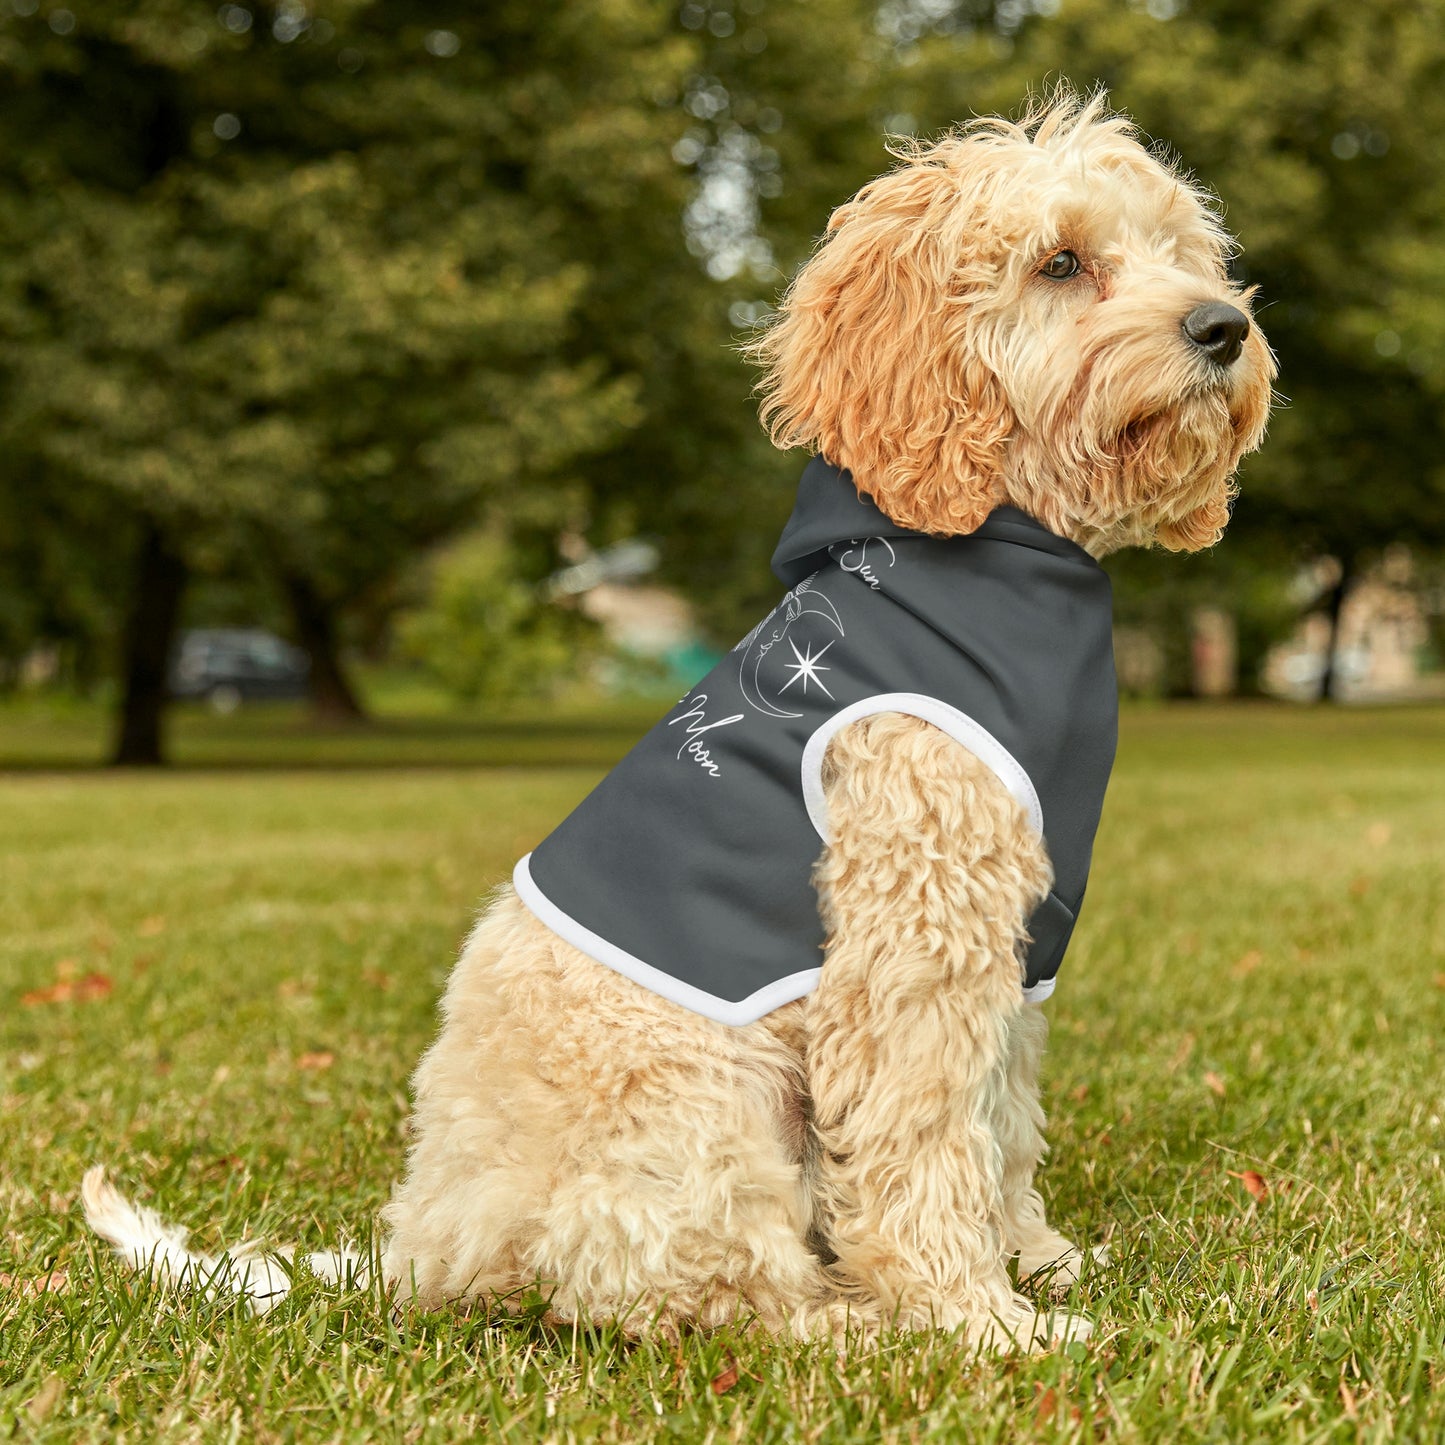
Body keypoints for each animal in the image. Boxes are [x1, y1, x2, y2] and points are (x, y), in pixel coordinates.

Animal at [84, 93, 1271, 1352]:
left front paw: (1034, 1260)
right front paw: (977, 1318)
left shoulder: (1014, 943)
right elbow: (924, 1137)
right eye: (1059, 262)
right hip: (704, 1102)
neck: (998, 548)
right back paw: (852, 1322)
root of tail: (424, 1245)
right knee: (700, 1290)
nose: (1222, 327)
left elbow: (999, 1120)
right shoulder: (912, 937)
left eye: (1180, 252)